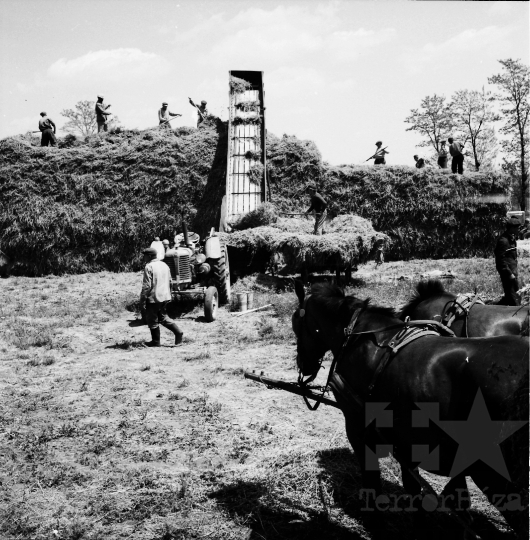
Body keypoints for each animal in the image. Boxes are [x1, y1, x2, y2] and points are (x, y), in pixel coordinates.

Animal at [290, 282, 524, 540]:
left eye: (297, 325)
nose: (303, 365)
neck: (359, 338)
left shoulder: (358, 430)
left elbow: (373, 483)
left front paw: (376, 527)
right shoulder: (405, 440)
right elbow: (414, 491)